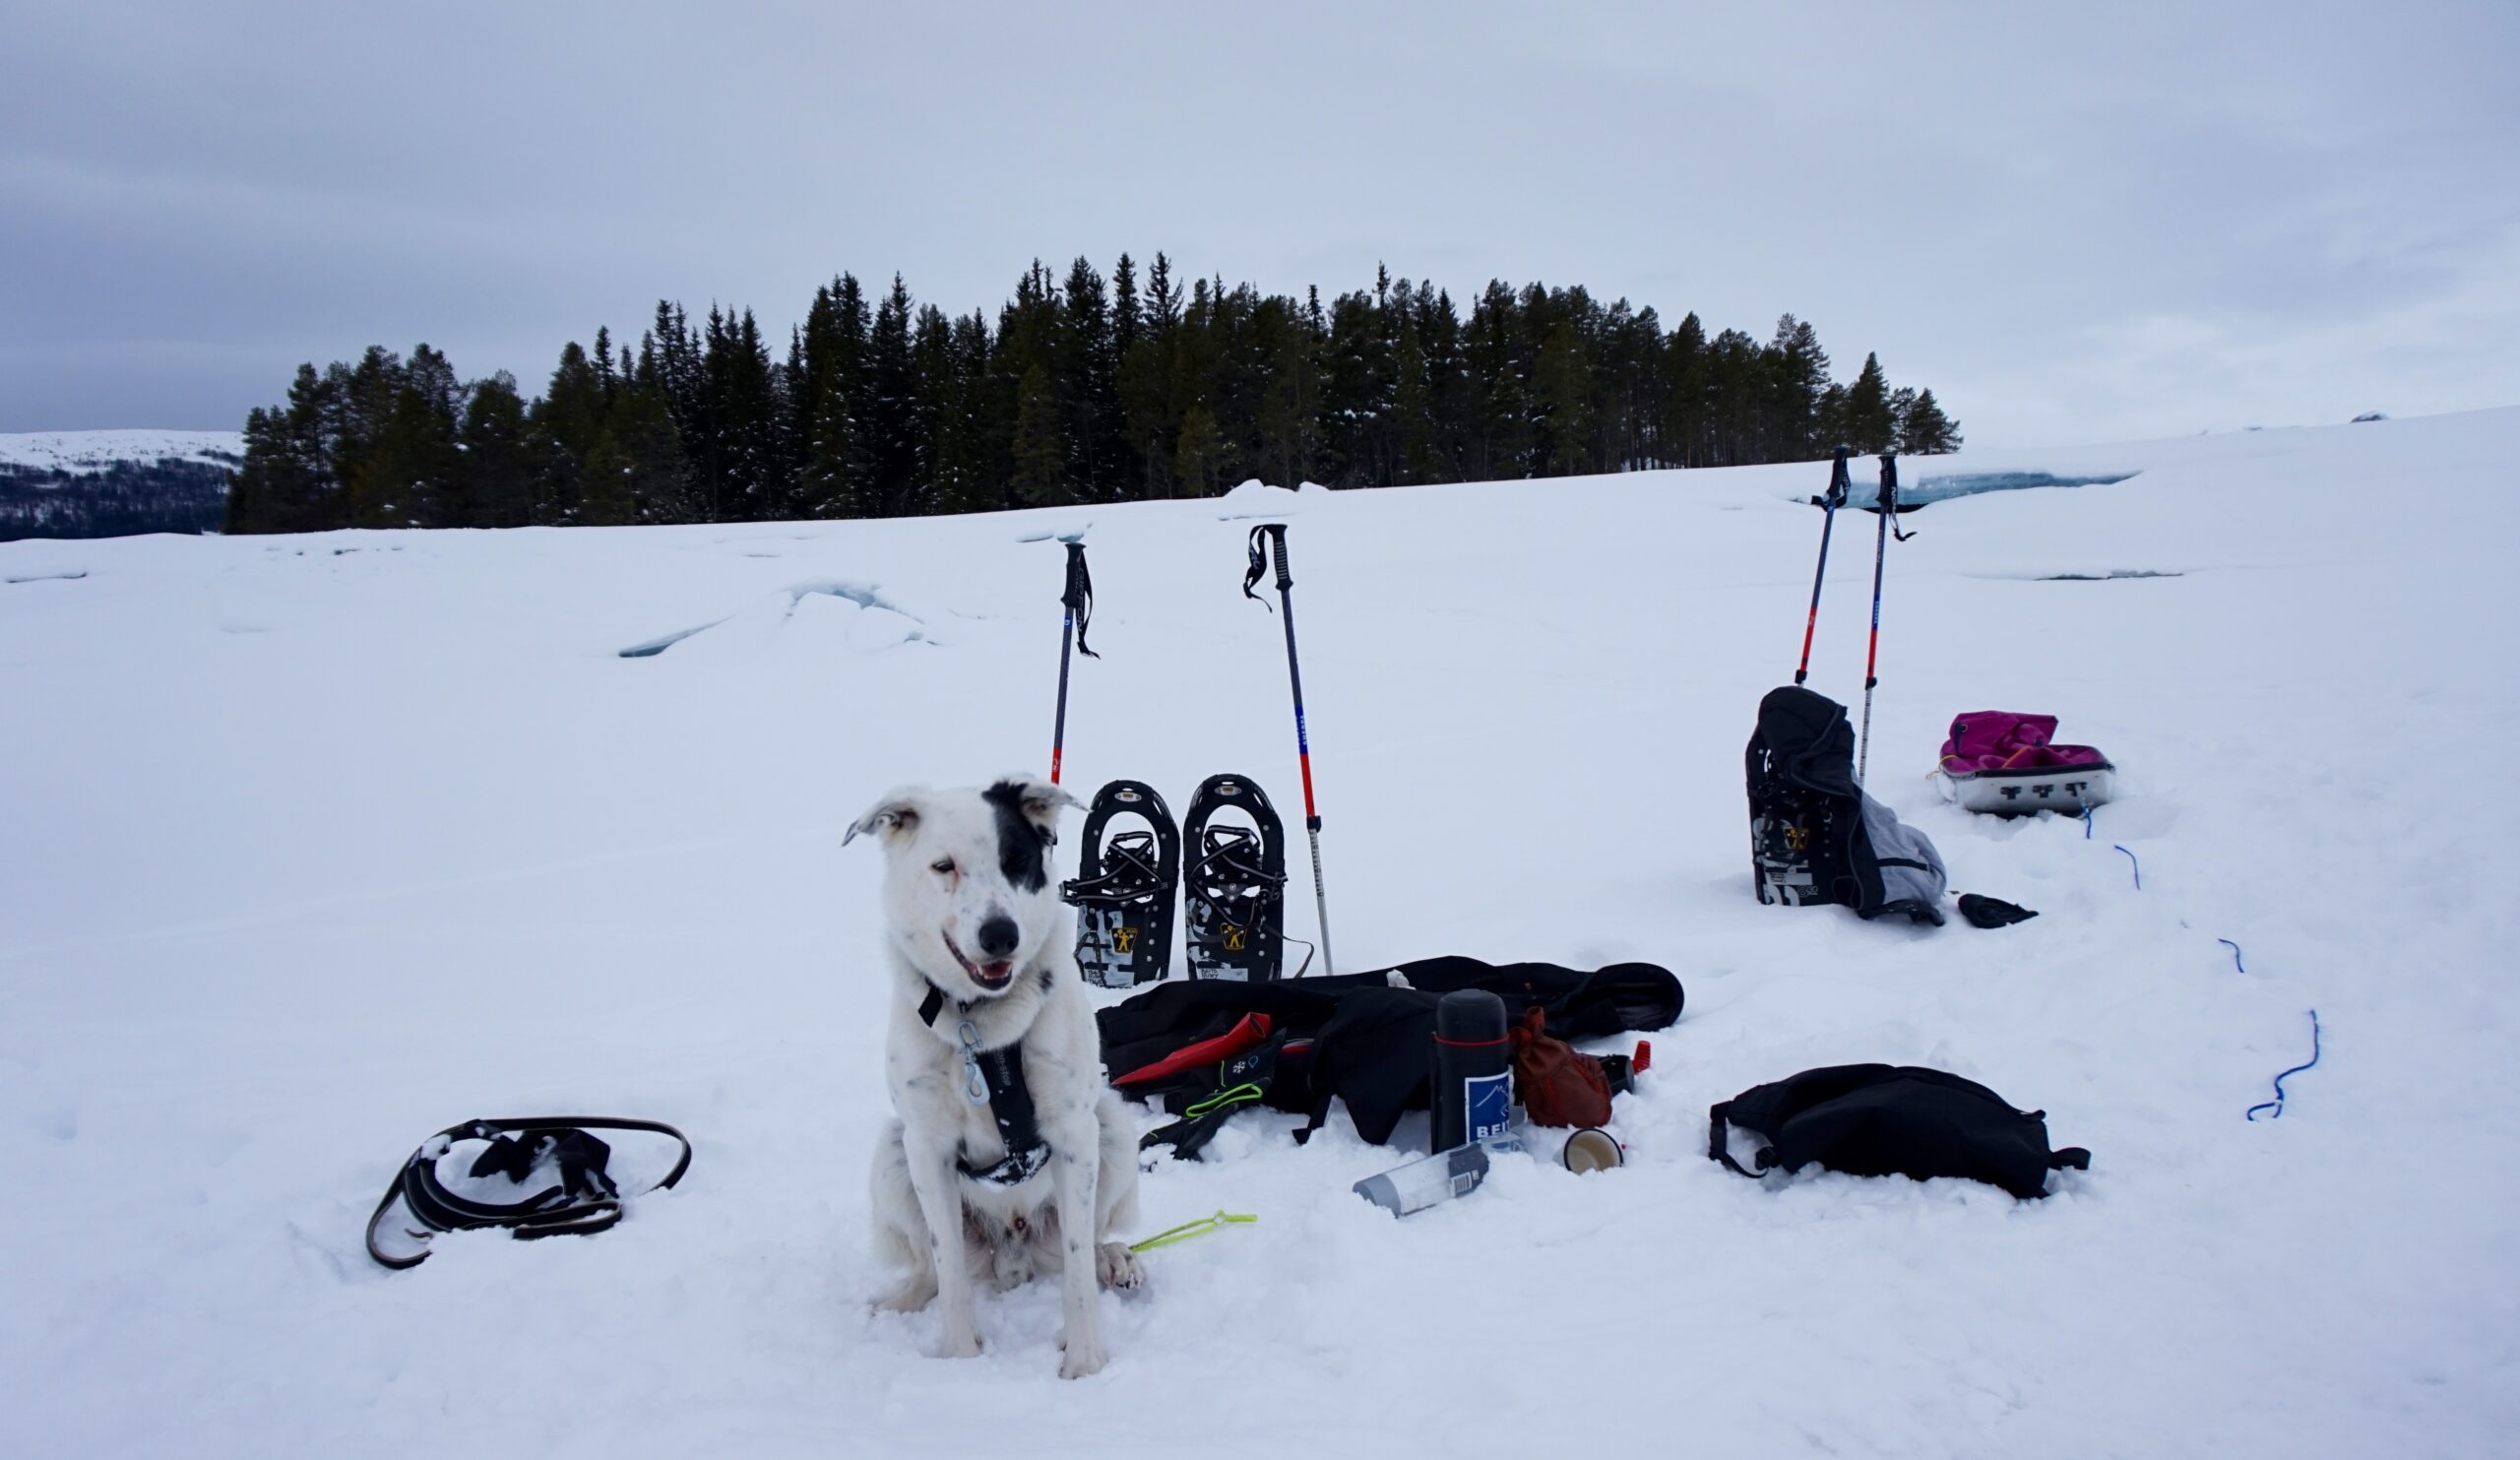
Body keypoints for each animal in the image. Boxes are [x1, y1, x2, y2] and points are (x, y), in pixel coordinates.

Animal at [856, 776, 1154, 1381]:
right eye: (943, 866)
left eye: (1016, 861)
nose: (1001, 934)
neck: (980, 1027)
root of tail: (1012, 1257)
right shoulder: (927, 1146)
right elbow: (948, 1274)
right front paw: (960, 1363)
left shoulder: (1073, 1134)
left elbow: (1077, 1278)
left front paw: (1085, 1363)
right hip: (894, 1155)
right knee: (931, 1268)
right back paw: (899, 1302)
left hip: (1111, 1129)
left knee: (1088, 1244)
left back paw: (1115, 1261)